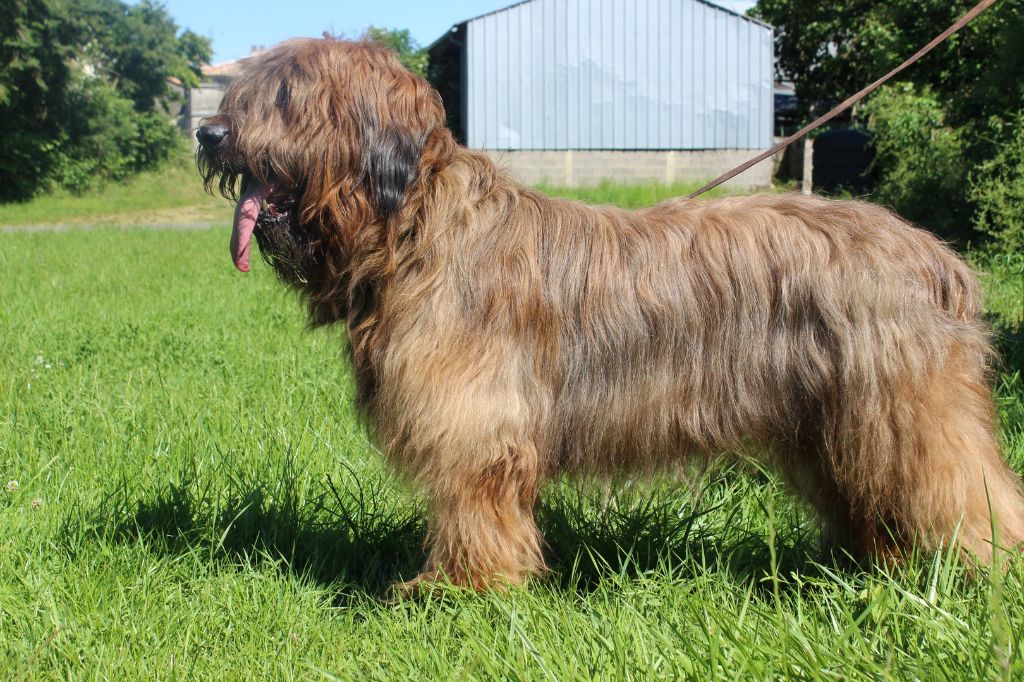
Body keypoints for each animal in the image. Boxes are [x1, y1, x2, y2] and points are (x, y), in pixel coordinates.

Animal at [197, 35, 1024, 585]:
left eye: (288, 96)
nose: (207, 132)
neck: (414, 226)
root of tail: (939, 258)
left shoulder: (477, 422)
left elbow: (473, 508)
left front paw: (457, 592)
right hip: (838, 422)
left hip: (907, 412)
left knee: (970, 492)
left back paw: (985, 580)